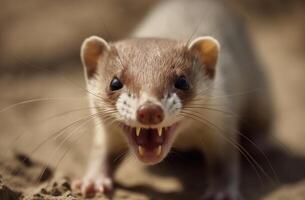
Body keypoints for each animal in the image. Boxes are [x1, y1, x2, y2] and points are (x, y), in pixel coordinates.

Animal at [72, 0, 272, 198]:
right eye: (114, 82)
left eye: (182, 81)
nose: (149, 110)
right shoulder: (106, 134)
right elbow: (100, 155)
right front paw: (93, 181)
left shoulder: (223, 127)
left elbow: (225, 165)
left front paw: (222, 192)